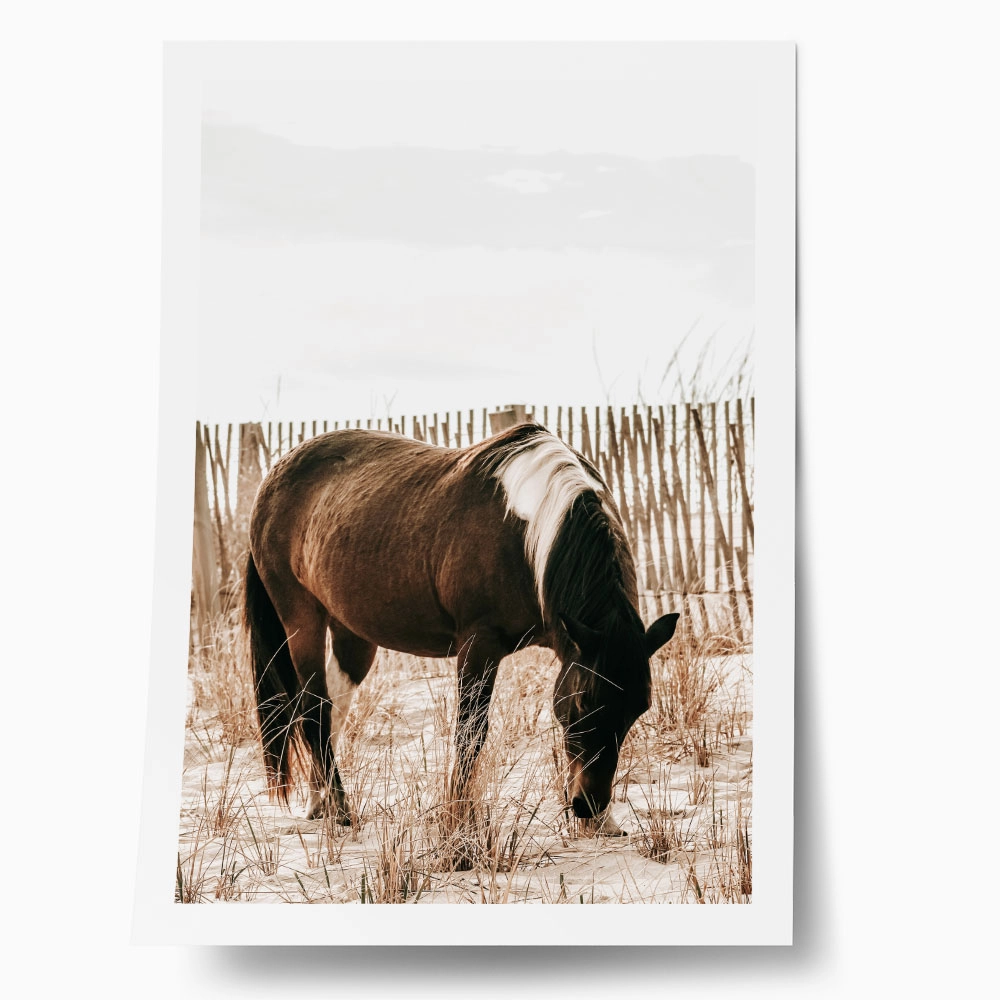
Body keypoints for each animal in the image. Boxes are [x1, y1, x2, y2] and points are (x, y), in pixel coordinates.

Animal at [243, 422, 678, 836]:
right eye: (584, 702)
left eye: (639, 708)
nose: (589, 805)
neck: (527, 531)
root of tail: (272, 479)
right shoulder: (479, 644)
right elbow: (470, 734)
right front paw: (458, 819)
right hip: (303, 620)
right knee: (314, 709)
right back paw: (340, 809)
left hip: (352, 633)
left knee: (332, 705)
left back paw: (319, 803)